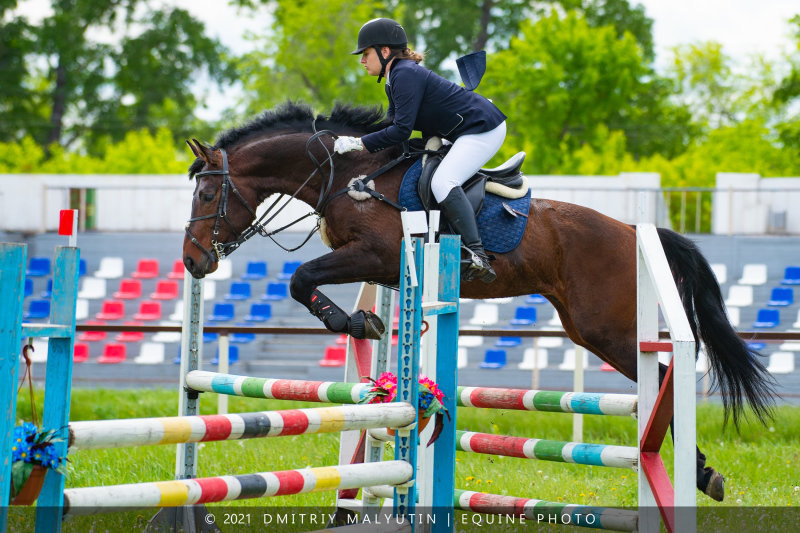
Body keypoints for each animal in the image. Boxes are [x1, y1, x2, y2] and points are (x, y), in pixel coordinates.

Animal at [183, 101, 776, 502]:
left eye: (208, 194)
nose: (193, 261)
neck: (349, 174)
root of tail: (634, 230)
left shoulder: (373, 254)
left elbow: (300, 278)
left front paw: (350, 319)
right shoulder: (381, 266)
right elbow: (316, 288)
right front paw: (364, 322)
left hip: (607, 329)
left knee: (667, 375)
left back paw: (702, 473)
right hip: (586, 326)